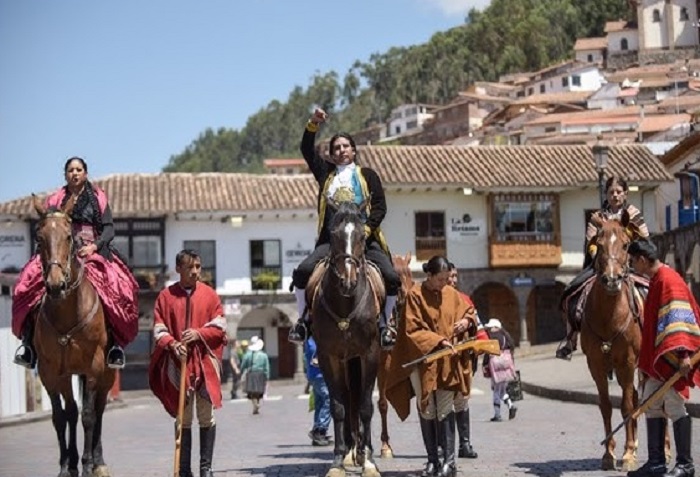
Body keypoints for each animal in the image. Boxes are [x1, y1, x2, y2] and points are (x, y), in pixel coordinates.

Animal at [32, 194, 115, 476]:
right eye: (39, 238)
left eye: (69, 236)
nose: (55, 284)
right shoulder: (50, 371)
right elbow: (61, 416)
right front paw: (66, 466)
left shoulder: (93, 366)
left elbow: (89, 415)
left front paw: (88, 464)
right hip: (66, 373)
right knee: (71, 411)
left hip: (107, 373)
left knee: (99, 410)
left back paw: (99, 462)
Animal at [576, 210, 644, 470]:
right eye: (600, 245)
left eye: (626, 245)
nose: (612, 280)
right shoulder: (595, 364)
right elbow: (605, 406)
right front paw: (609, 454)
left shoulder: (627, 362)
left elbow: (626, 406)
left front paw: (627, 453)